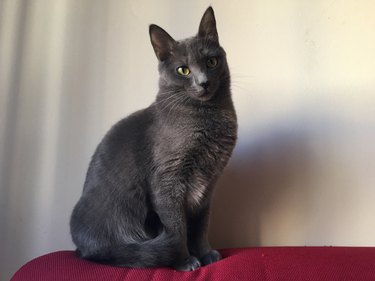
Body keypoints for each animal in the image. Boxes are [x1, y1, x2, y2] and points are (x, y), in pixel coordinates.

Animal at [69, 6, 236, 270]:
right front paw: (184, 261)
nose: (204, 82)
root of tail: (81, 248)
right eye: (183, 69)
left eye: (211, 61)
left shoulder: (208, 187)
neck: (208, 118)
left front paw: (205, 253)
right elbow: (177, 228)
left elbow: (200, 226)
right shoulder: (167, 181)